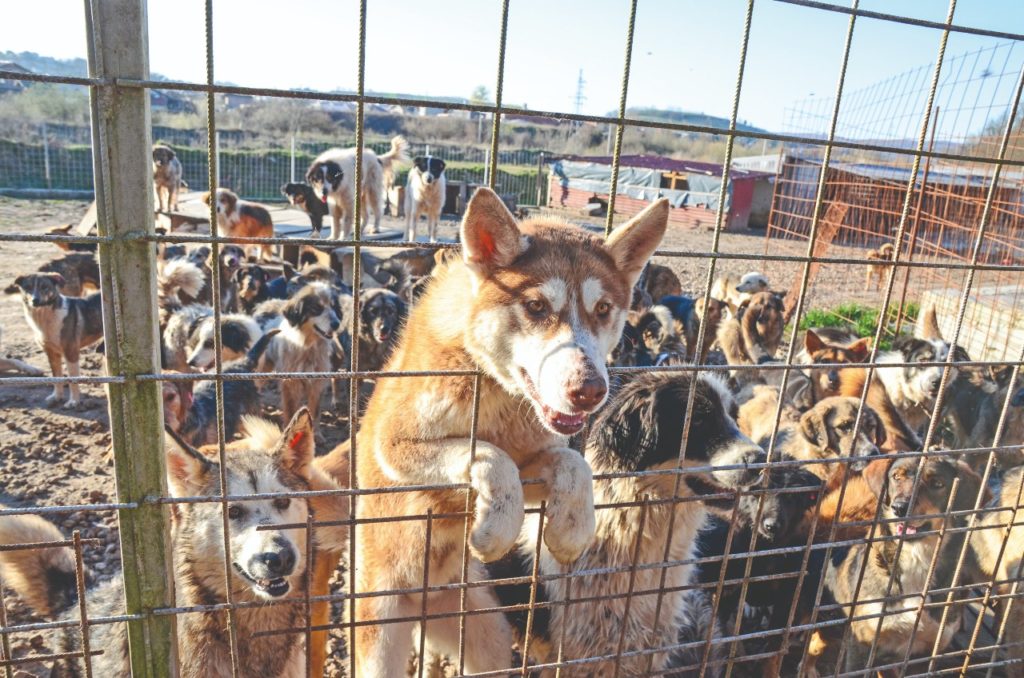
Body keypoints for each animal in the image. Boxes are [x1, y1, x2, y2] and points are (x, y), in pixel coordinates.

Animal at [5, 272, 103, 409]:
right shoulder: (51, 353)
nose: (35, 300)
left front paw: (74, 401)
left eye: (45, 287)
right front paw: (57, 397)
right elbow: (56, 378)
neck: (44, 317)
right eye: (28, 287)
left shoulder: (71, 353)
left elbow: (72, 379)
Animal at [319, 187, 671, 678]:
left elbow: (572, 462)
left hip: (488, 637)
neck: (499, 399)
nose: (590, 391)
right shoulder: (396, 447)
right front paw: (496, 531)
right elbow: (487, 455)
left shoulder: (537, 460)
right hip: (380, 639)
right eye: (537, 306)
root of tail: (423, 603)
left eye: (602, 310)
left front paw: (572, 529)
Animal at [823, 454, 983, 675]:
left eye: (937, 484)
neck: (916, 557)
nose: (899, 508)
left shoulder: (929, 650)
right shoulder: (861, 645)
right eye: (896, 477)